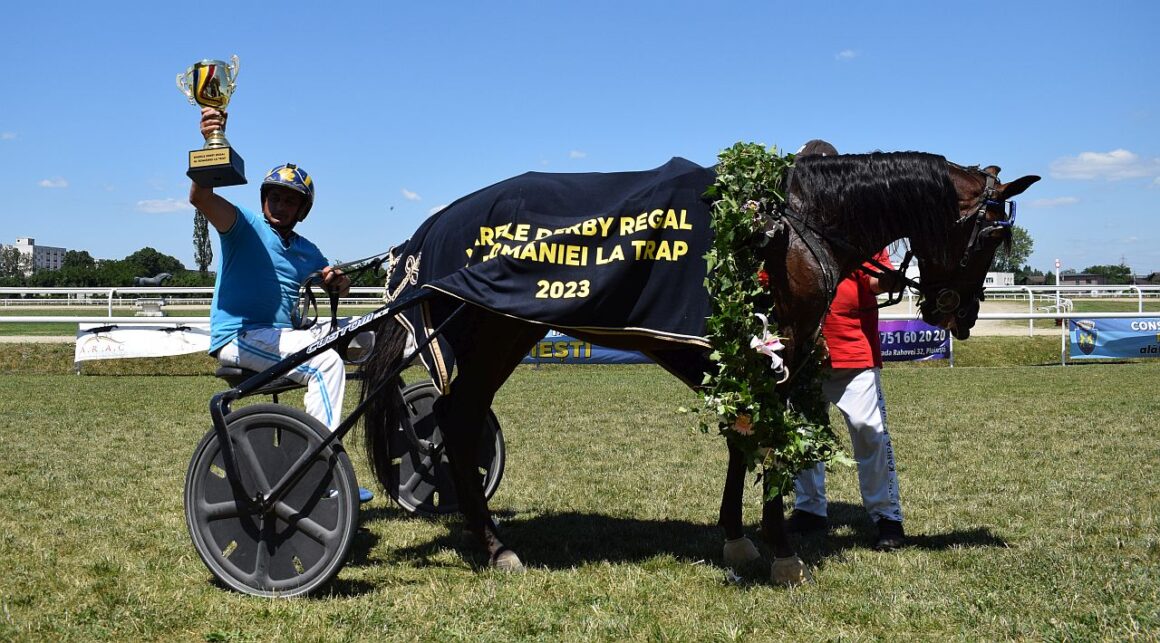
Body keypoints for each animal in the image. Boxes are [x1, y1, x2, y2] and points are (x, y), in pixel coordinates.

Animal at [357, 149, 1039, 580]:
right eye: (991, 235)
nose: (961, 314)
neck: (791, 223)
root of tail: (433, 227)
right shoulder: (773, 354)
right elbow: (767, 443)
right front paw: (782, 551)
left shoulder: (747, 358)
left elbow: (743, 439)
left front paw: (738, 537)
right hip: (498, 335)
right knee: (458, 419)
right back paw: (497, 547)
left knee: (455, 421)